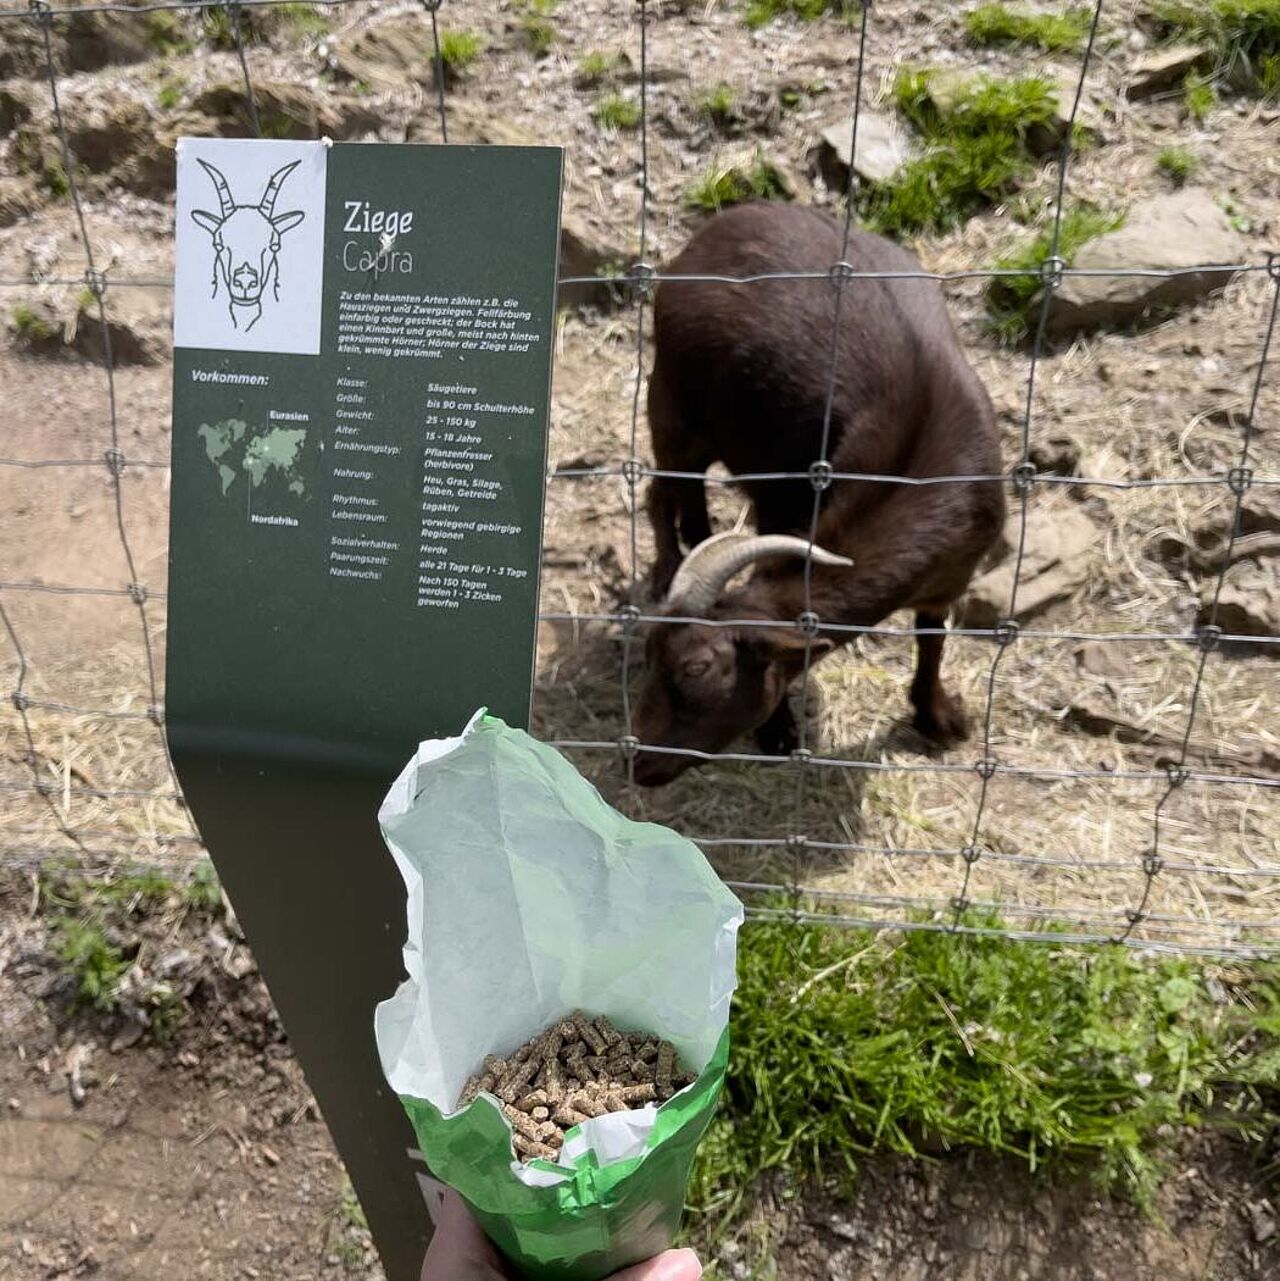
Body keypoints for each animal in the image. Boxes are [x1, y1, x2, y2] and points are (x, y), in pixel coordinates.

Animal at [635, 201, 1004, 783]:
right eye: (649, 655)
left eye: (697, 667)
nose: (639, 765)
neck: (914, 471)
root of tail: (721, 226)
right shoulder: (784, 507)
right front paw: (779, 732)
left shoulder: (951, 575)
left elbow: (932, 636)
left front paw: (938, 717)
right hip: (671, 400)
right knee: (663, 490)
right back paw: (667, 567)